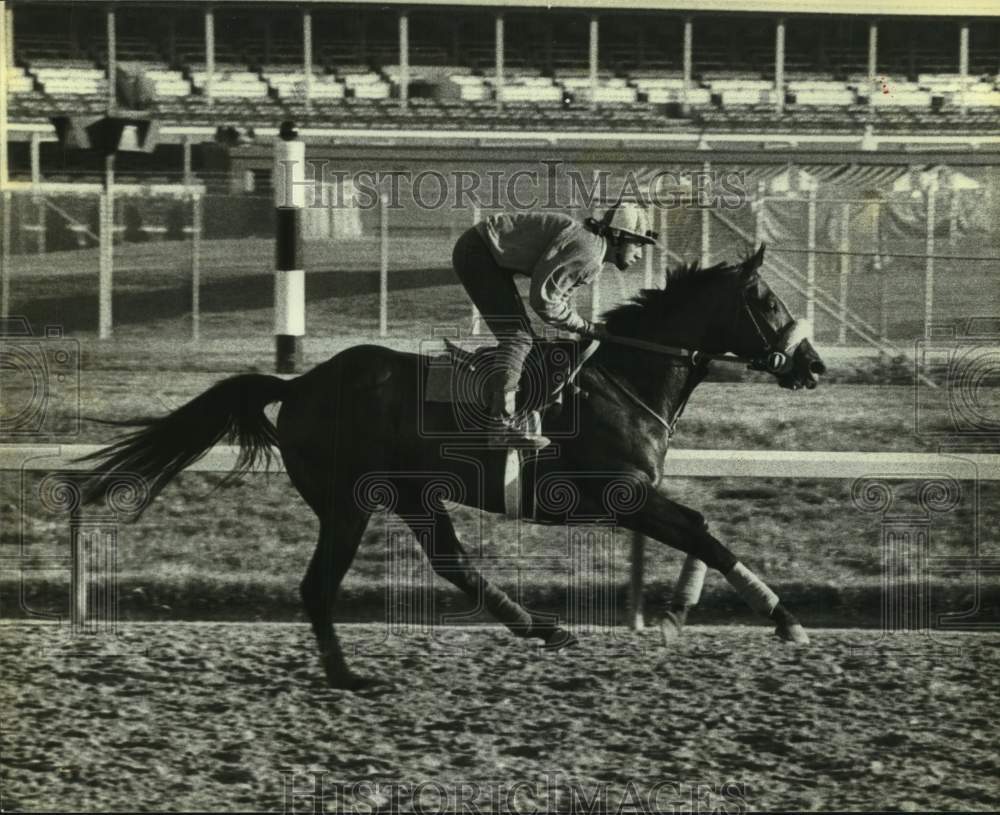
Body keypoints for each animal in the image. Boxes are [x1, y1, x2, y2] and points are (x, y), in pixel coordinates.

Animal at [80, 245, 828, 692]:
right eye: (767, 301)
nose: (816, 365)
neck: (624, 376)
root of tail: (298, 385)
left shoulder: (637, 497)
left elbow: (701, 526)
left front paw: (677, 610)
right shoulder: (623, 495)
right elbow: (704, 530)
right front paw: (783, 617)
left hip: (413, 496)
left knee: (450, 562)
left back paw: (539, 626)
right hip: (347, 503)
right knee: (319, 587)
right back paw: (350, 676)